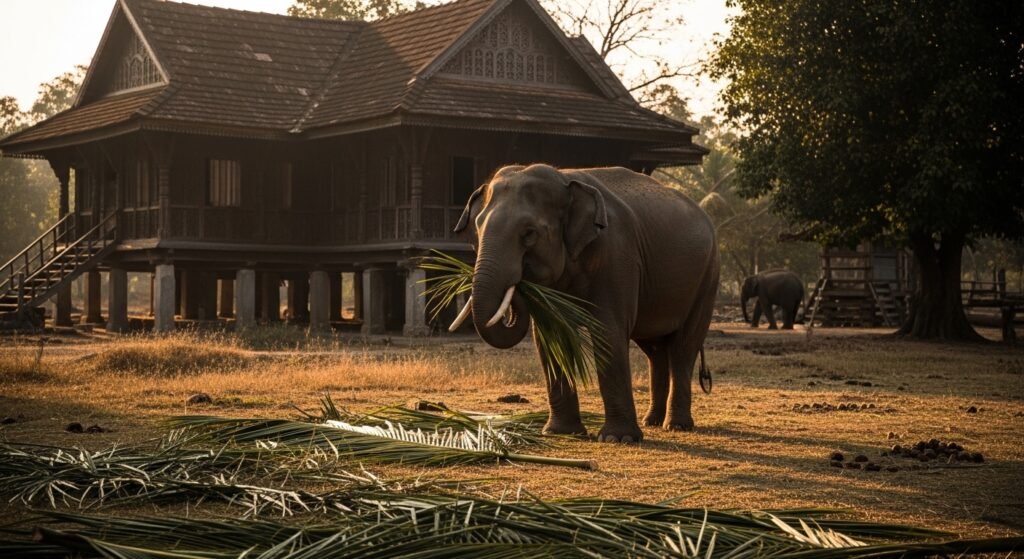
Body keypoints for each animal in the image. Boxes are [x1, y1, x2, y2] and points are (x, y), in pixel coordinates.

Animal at [450, 164, 719, 443]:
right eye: (478, 229)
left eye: (529, 233)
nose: (520, 284)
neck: (564, 178)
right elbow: (551, 337)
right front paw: (560, 432)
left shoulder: (617, 255)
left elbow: (607, 332)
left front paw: (617, 439)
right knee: (655, 351)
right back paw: (652, 421)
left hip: (708, 277)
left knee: (683, 348)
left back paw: (676, 425)